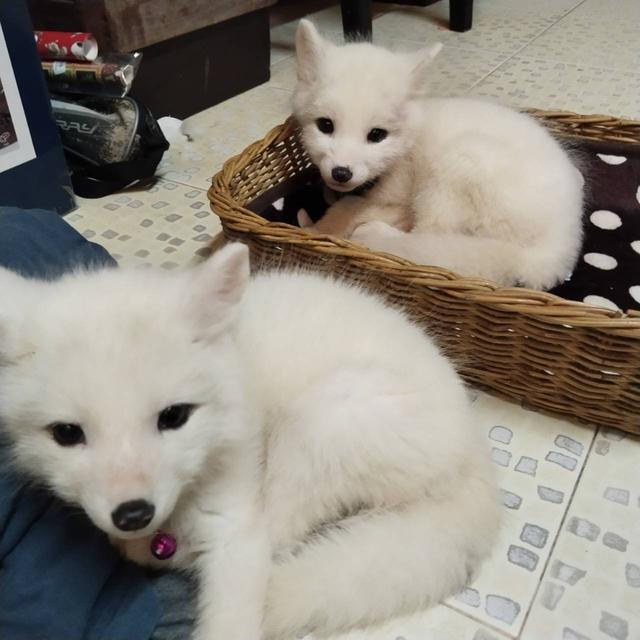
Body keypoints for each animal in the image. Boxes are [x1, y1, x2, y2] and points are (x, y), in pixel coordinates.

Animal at [293, 20, 584, 290]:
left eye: (377, 135)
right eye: (325, 125)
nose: (341, 173)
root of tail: (558, 244)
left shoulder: (399, 200)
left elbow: (349, 208)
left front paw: (320, 228)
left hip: (457, 163)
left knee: (427, 240)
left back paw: (377, 236)